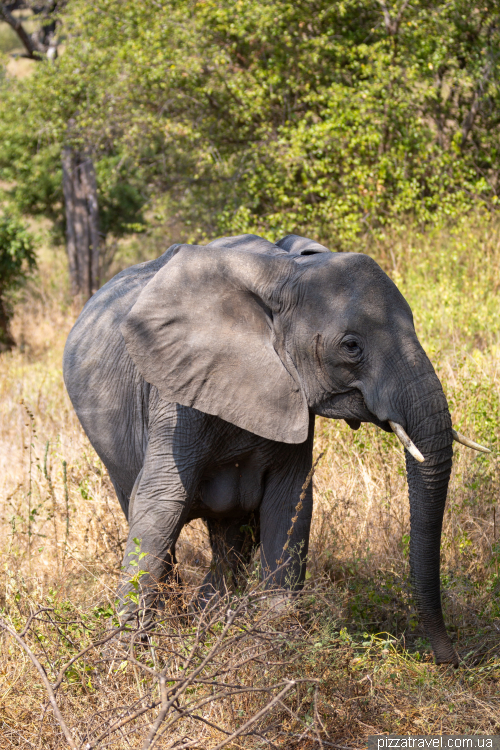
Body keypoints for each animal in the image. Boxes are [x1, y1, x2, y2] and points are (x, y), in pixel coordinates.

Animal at [63, 234, 488, 664]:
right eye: (351, 346)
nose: (454, 660)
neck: (284, 273)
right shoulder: (176, 391)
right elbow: (159, 507)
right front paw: (127, 660)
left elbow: (289, 506)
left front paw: (271, 641)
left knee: (232, 540)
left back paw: (207, 620)